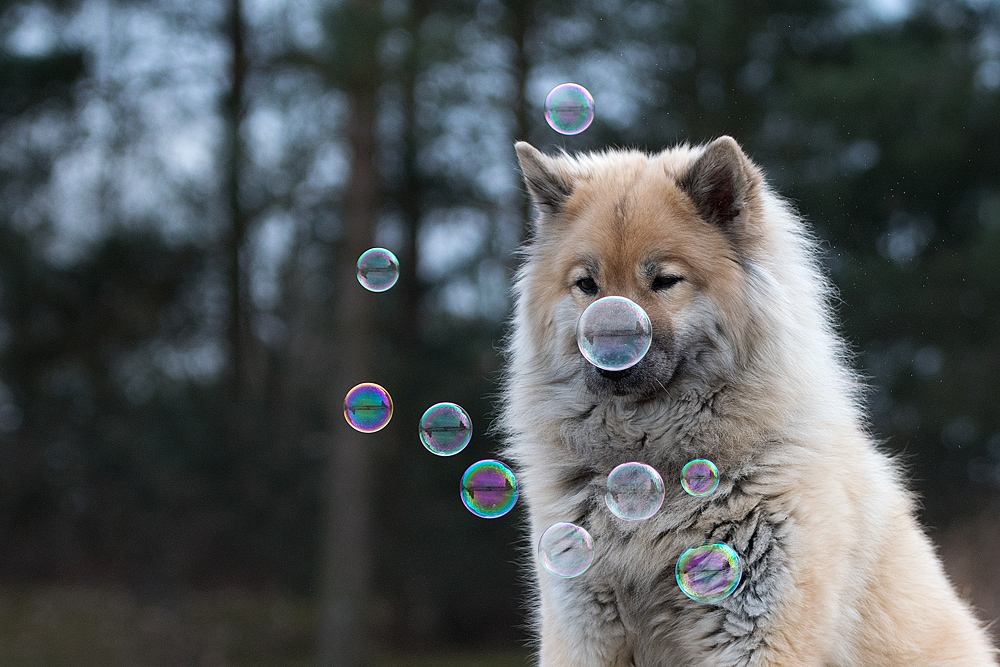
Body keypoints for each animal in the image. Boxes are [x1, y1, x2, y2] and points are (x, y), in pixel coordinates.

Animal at [496, 138, 996, 664]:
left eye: (665, 281)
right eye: (587, 285)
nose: (610, 350)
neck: (651, 475)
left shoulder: (757, 626)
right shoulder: (581, 621)